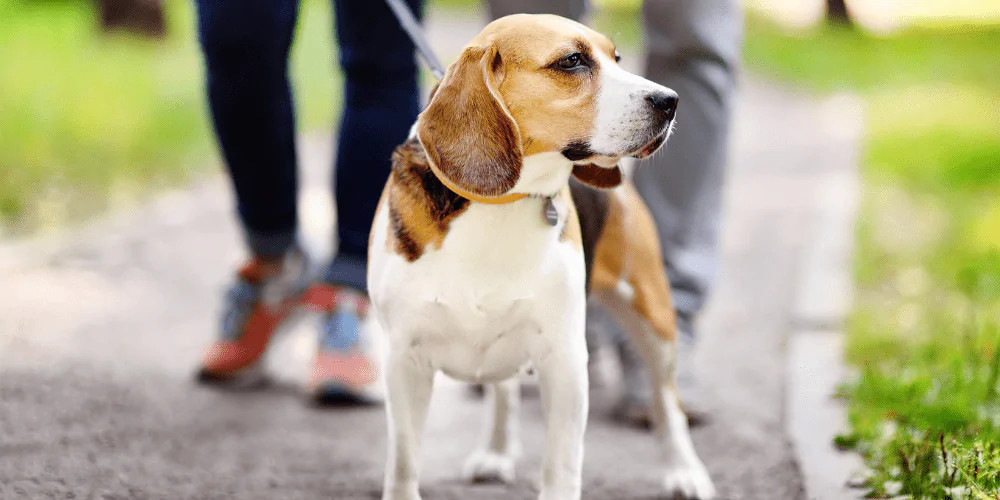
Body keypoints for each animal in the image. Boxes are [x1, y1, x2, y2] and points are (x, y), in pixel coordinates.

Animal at [368, 13, 720, 500]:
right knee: (504, 391)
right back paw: (496, 452)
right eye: (571, 61)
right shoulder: (404, 360)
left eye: (616, 58)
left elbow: (562, 465)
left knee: (667, 405)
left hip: (655, 321)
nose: (670, 101)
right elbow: (403, 463)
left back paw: (687, 472)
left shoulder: (565, 361)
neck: (500, 202)